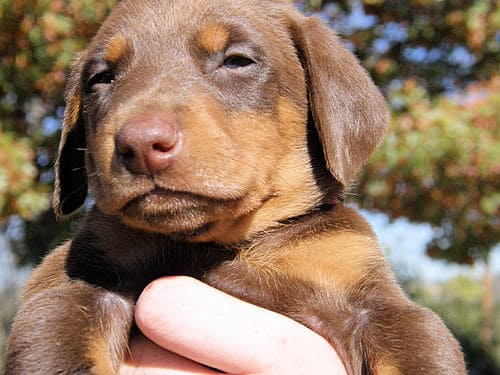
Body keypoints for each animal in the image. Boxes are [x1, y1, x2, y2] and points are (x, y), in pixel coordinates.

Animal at [3, 0, 466, 374]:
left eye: (237, 61)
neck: (220, 242)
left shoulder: (376, 302)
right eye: (101, 78)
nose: (141, 144)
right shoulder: (79, 282)